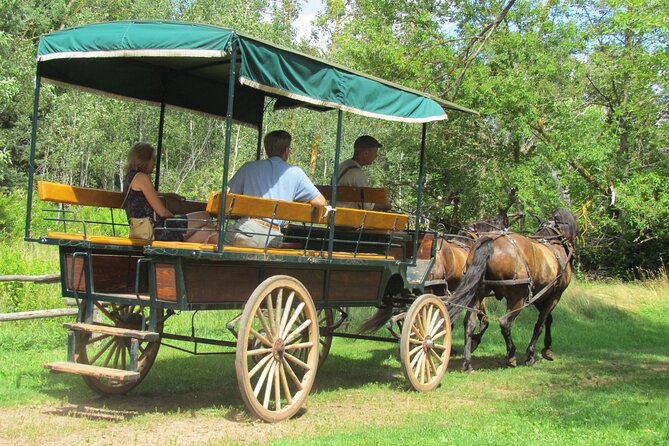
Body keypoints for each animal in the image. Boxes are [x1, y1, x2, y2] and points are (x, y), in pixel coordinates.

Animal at [448, 207, 580, 372]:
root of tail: (491, 241)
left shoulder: (539, 295)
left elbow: (548, 319)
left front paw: (547, 349)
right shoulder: (554, 296)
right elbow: (540, 324)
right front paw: (531, 355)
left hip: (478, 294)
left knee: (469, 323)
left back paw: (468, 363)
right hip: (517, 298)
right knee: (505, 322)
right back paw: (511, 355)